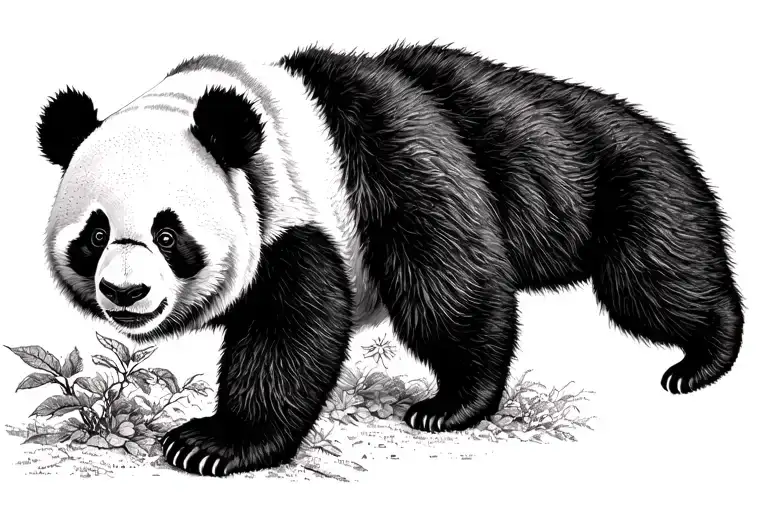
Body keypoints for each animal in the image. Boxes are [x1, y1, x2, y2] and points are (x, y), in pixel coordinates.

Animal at [38, 42, 743, 477]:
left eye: (168, 234)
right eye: (95, 234)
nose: (125, 294)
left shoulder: (330, 198)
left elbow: (304, 327)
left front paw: (211, 445)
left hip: (605, 176)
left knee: (648, 278)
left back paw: (702, 357)